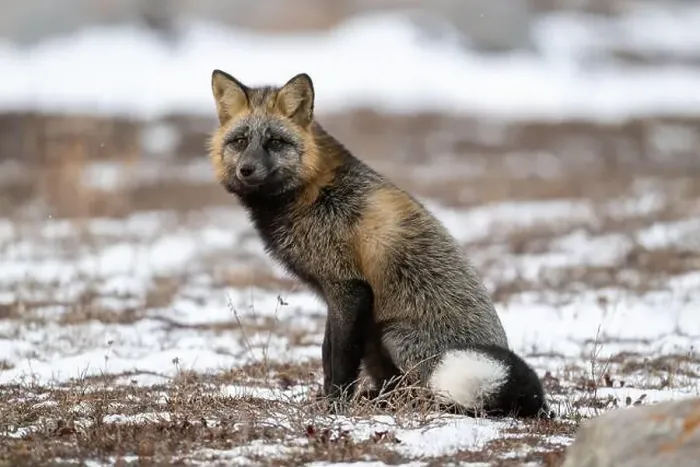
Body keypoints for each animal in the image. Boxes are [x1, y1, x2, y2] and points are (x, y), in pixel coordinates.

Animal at [207, 69, 551, 418]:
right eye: (239, 141)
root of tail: (539, 405)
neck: (312, 191)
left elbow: (340, 361)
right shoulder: (334, 295)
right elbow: (326, 354)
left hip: (394, 335)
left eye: (274, 142)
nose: (246, 169)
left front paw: (335, 408)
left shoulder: (349, 288)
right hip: (376, 340)